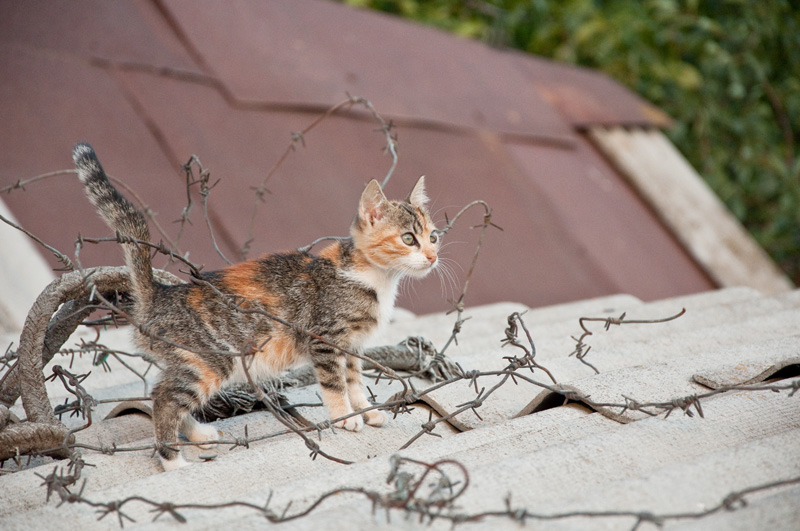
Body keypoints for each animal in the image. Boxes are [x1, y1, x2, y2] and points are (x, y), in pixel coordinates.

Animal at [72, 142, 440, 470]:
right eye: (408, 239)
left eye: (433, 236)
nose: (432, 257)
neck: (376, 278)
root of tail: (159, 294)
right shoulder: (325, 339)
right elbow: (335, 383)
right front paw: (343, 418)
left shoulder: (352, 346)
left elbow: (354, 380)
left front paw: (365, 410)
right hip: (212, 360)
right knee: (164, 399)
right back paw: (173, 461)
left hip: (187, 361)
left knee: (160, 393)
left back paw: (197, 434)